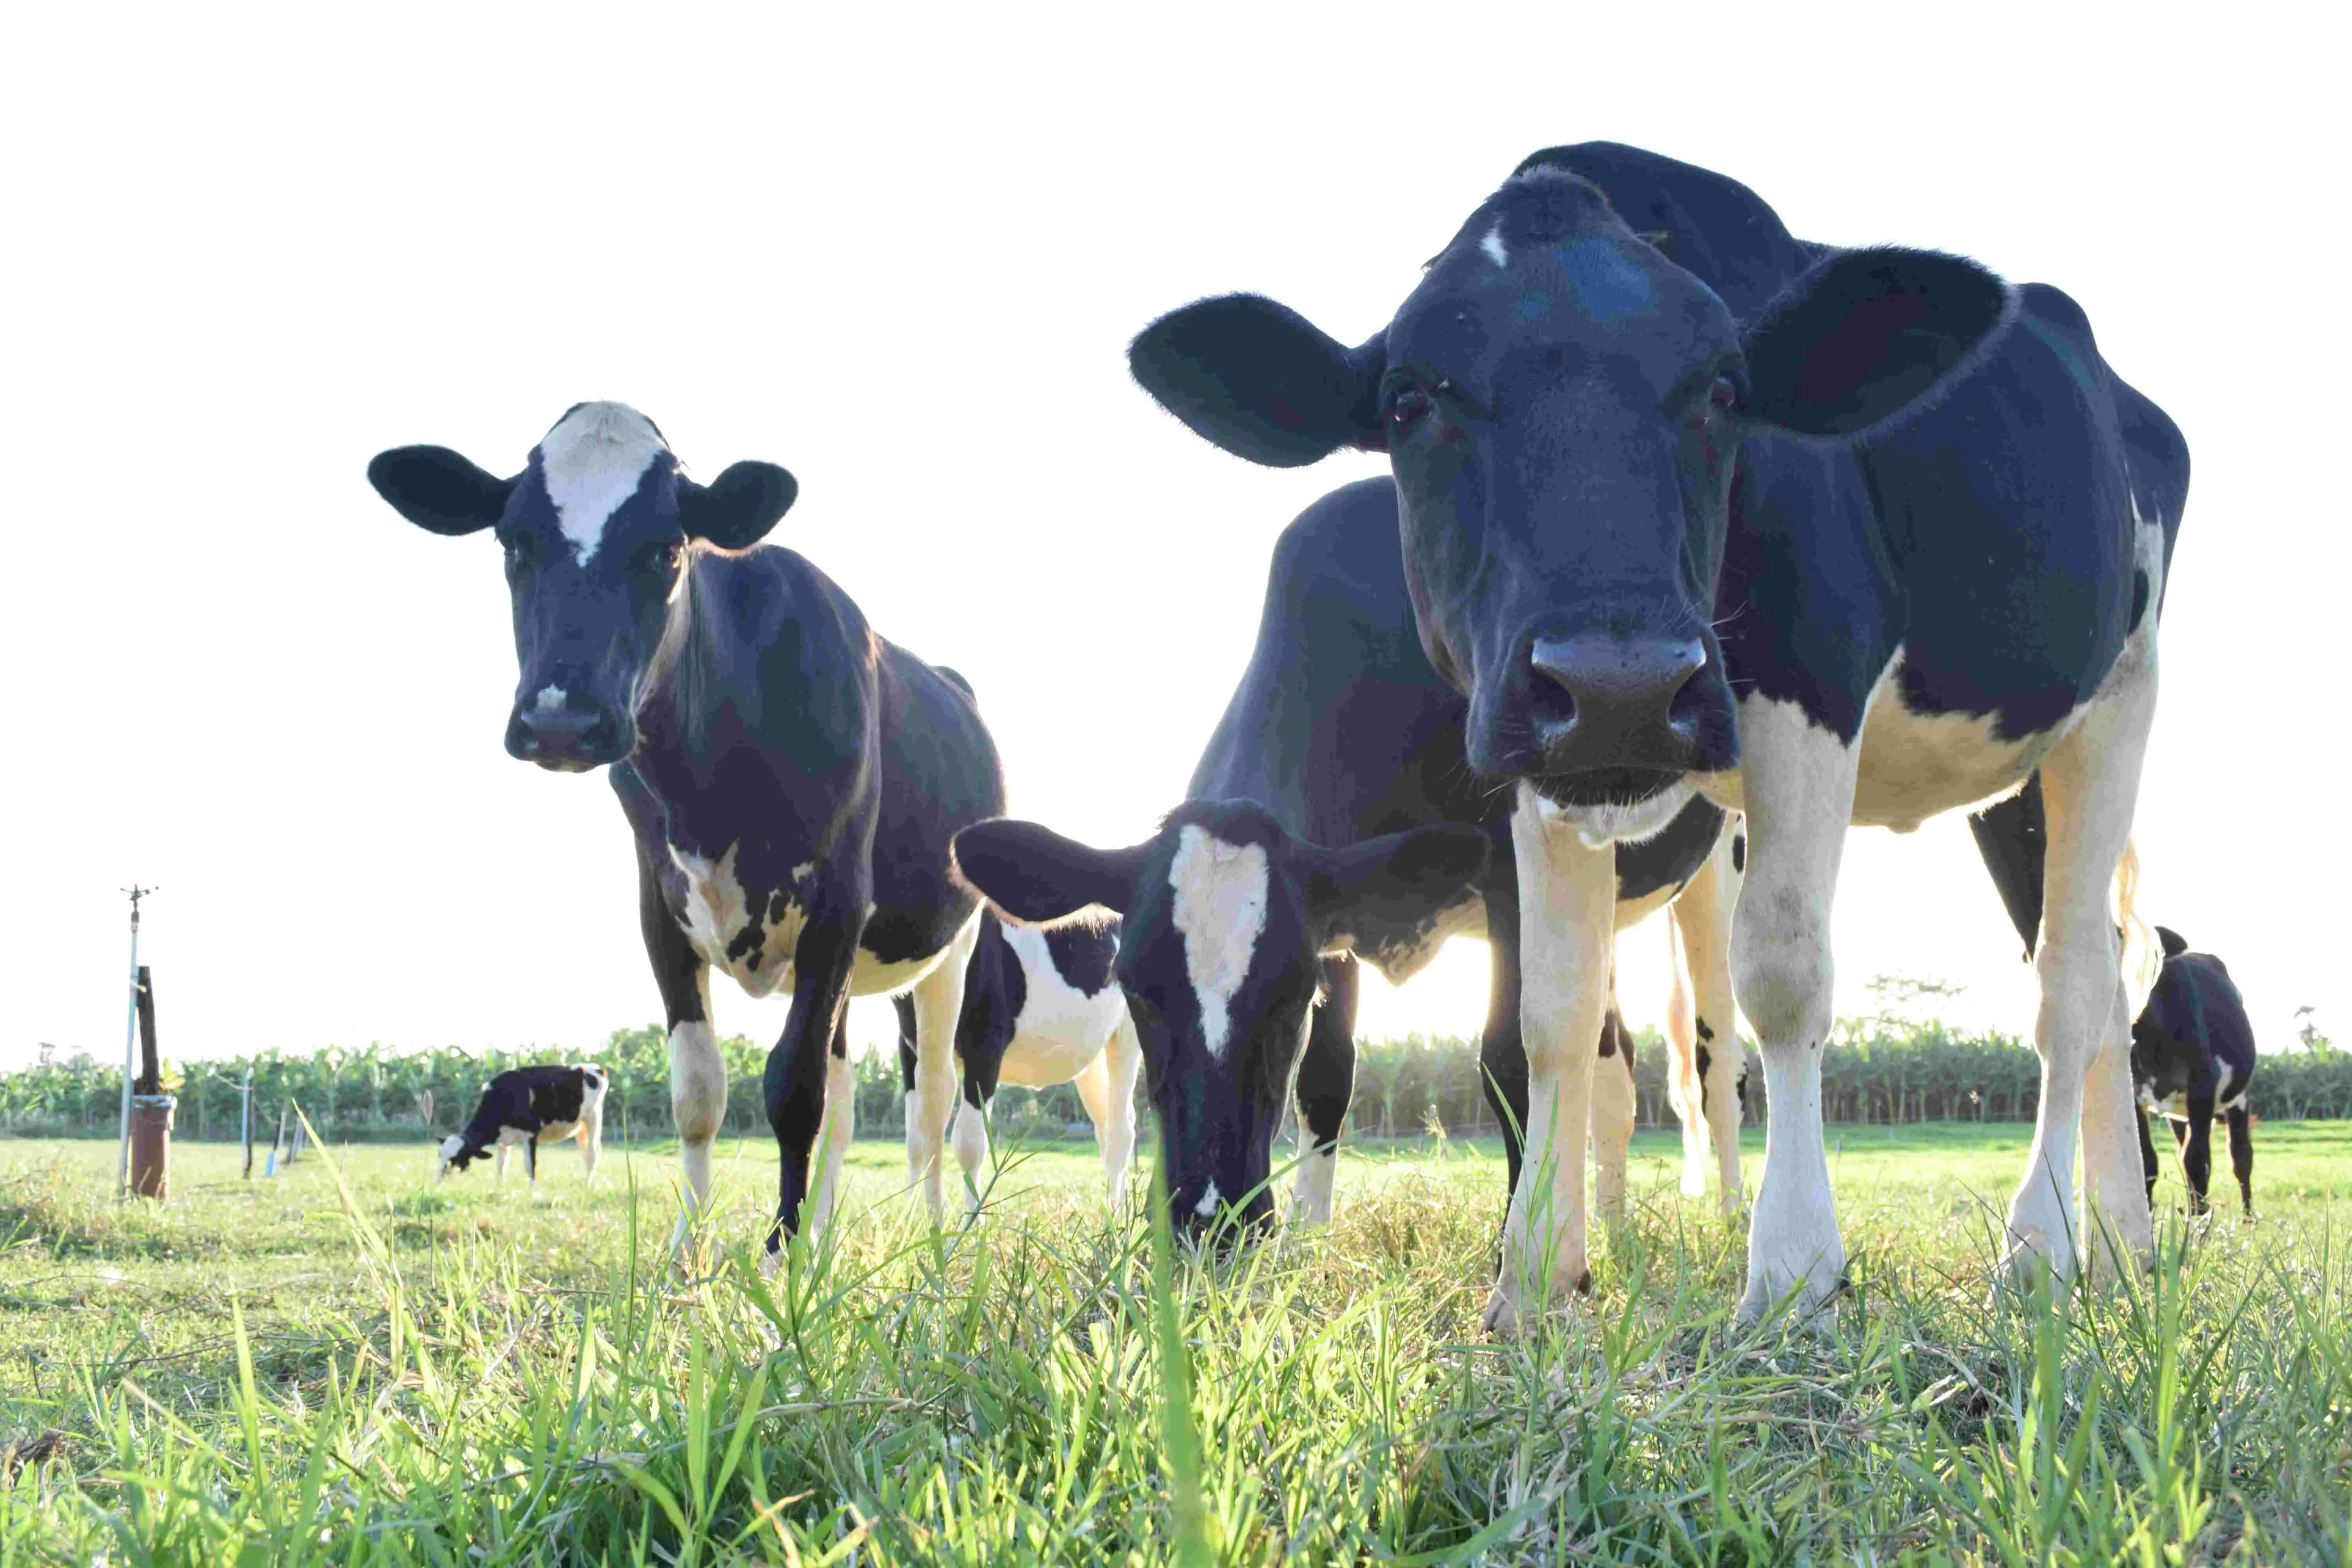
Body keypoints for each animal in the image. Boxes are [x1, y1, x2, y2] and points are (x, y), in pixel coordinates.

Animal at [438, 1063, 607, 1184]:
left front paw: (533, 1192)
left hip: (594, 1117)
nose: (438, 1181)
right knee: (587, 1153)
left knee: (593, 1154)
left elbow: (530, 1166)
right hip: (580, 1126)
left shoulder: (531, 1134)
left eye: (456, 1159)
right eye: (440, 1155)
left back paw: (588, 1186)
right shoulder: (503, 1139)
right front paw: (499, 1189)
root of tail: (594, 1068)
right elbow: (501, 1167)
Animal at [892, 908, 1143, 1205]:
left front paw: (971, 1218)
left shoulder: (987, 1041)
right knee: (1105, 1122)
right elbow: (915, 1142)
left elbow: (970, 1142)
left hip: (1127, 1033)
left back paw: (1116, 1217)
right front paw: (908, 1214)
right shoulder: (908, 1045)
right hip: (1089, 1058)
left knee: (1122, 1129)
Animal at [951, 478, 1749, 1244]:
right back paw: (1611, 1228)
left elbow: (1512, 1060)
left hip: (1721, 863)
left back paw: (1734, 1219)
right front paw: (1307, 1243)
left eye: (1287, 996)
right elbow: (1327, 1077)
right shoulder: (1337, 910)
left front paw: (1520, 1252)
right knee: (1612, 1061)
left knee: (1719, 1062)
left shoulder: (1508, 880)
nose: (1211, 1220)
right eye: (1134, 988)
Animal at [1126, 141, 2187, 1328]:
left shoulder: (1809, 694)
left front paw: (1794, 1272)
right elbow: (1547, 1019)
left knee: (2071, 981)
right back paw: (2125, 1242)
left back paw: (2043, 1245)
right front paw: (1535, 1279)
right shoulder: (1526, 774)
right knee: (2103, 974)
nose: (1619, 687)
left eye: (1725, 391)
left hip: (2116, 700)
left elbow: (1782, 976)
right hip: (2006, 787)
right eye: (1408, 402)